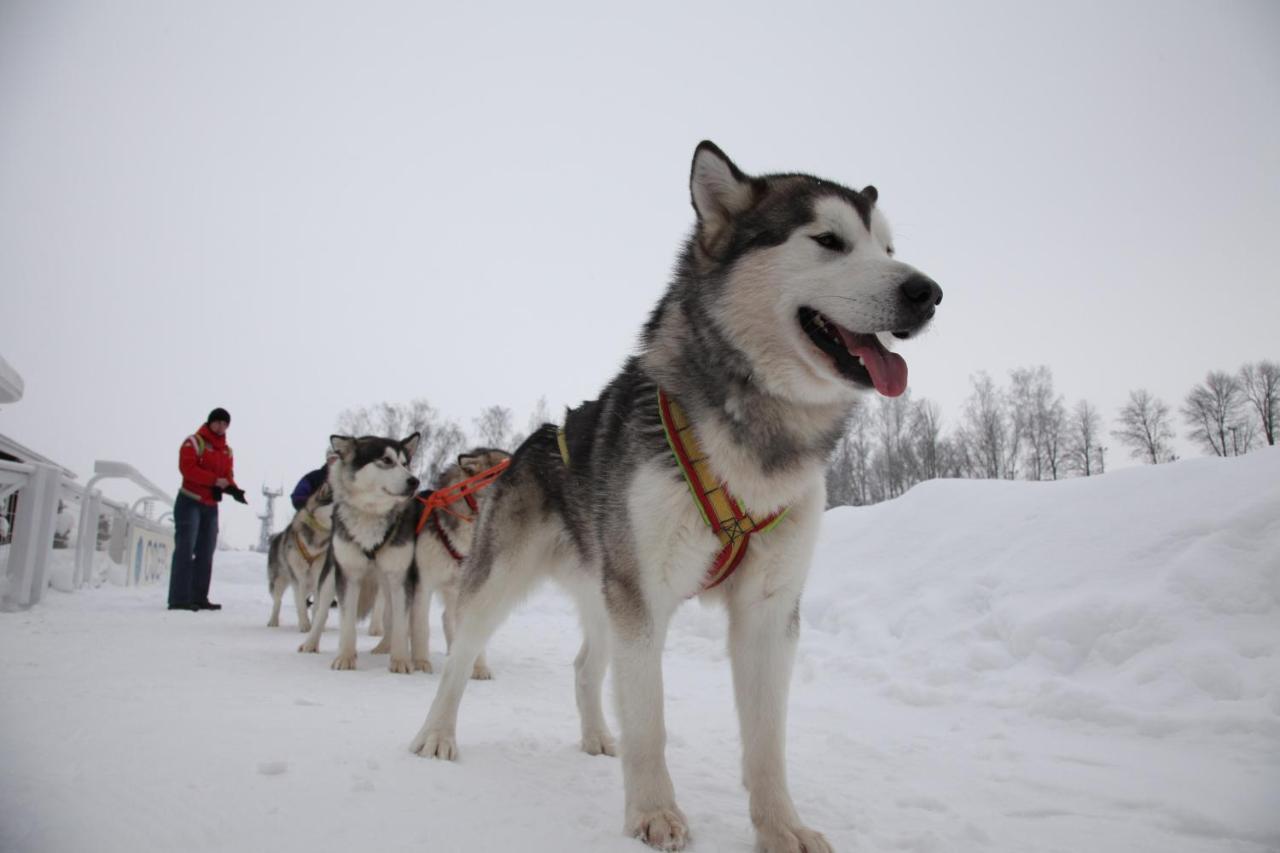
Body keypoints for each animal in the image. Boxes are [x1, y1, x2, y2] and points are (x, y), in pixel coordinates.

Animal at [264, 479, 332, 630]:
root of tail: (275, 536)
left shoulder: (319, 577)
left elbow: (316, 606)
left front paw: (316, 625)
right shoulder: (299, 578)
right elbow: (300, 604)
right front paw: (305, 625)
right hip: (279, 581)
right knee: (278, 601)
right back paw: (273, 621)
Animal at [298, 432, 419, 671]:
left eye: (405, 463)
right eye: (386, 460)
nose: (414, 481)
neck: (371, 515)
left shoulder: (399, 576)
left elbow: (401, 623)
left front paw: (400, 660)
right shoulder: (348, 574)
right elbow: (346, 621)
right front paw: (345, 657)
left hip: (385, 584)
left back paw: (384, 647)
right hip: (330, 575)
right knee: (321, 611)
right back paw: (310, 642)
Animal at [409, 142, 942, 845]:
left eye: (887, 247)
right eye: (829, 240)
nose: (928, 292)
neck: (753, 436)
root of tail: (529, 442)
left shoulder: (768, 611)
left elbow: (767, 742)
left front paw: (781, 828)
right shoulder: (646, 598)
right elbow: (650, 721)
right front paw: (654, 812)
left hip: (605, 588)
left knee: (586, 668)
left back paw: (596, 737)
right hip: (506, 582)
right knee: (460, 654)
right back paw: (436, 734)